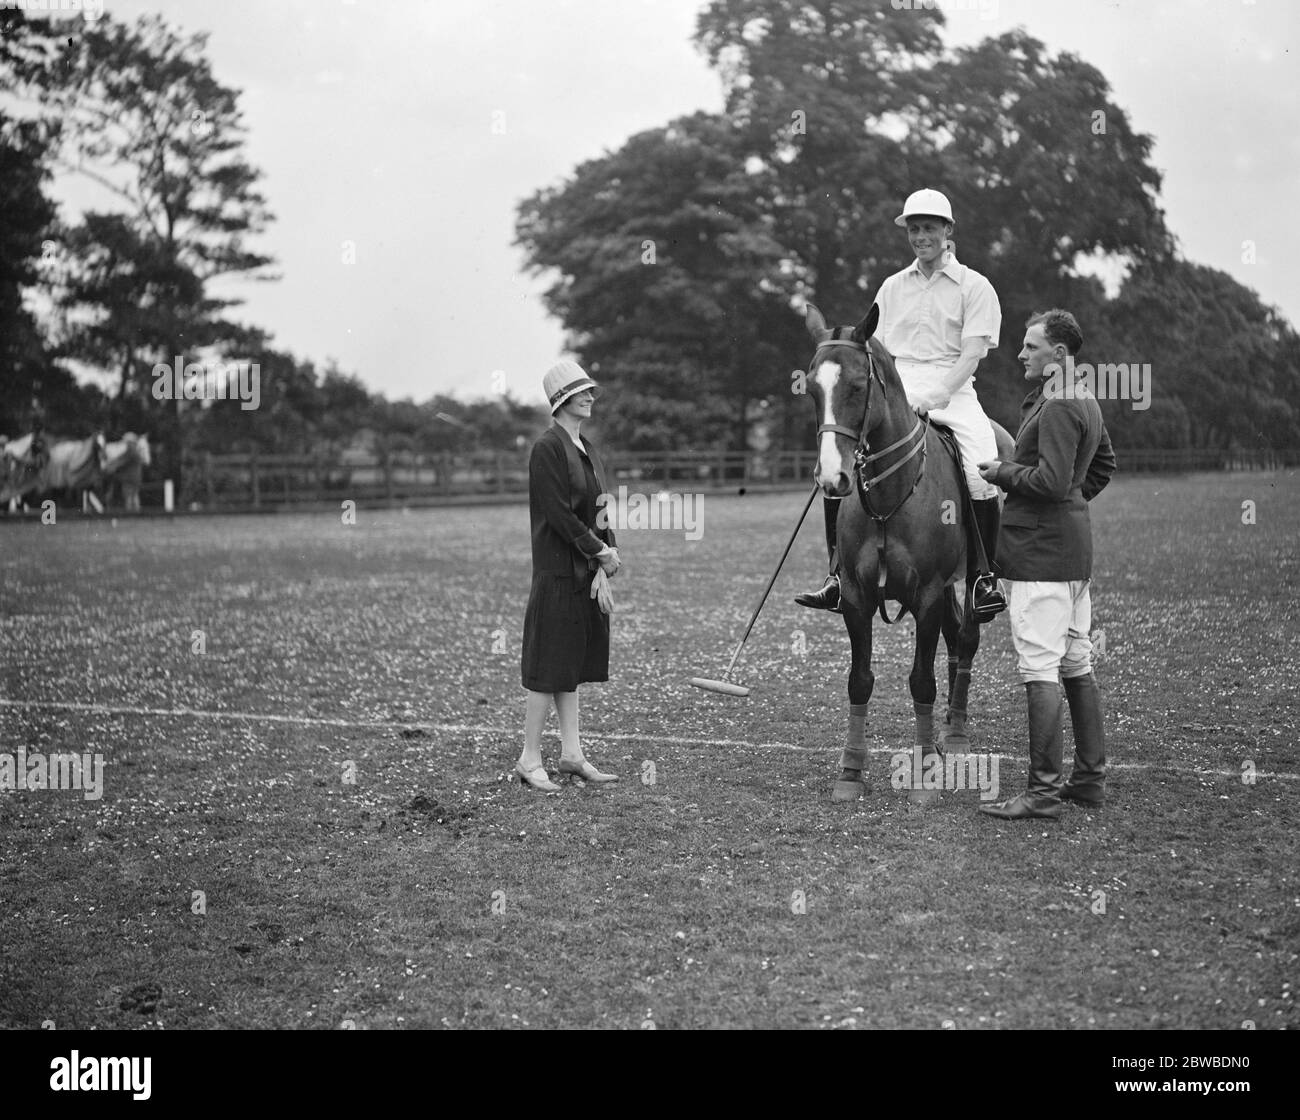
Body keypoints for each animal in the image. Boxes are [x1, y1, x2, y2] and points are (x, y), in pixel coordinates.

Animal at [800, 302, 1013, 800]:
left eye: (858, 387)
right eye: (812, 388)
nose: (832, 479)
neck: (889, 494)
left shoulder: (928, 594)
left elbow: (921, 681)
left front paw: (925, 774)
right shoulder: (856, 597)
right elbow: (859, 680)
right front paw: (850, 771)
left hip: (968, 576)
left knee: (967, 638)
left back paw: (954, 737)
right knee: (955, 638)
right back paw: (944, 733)